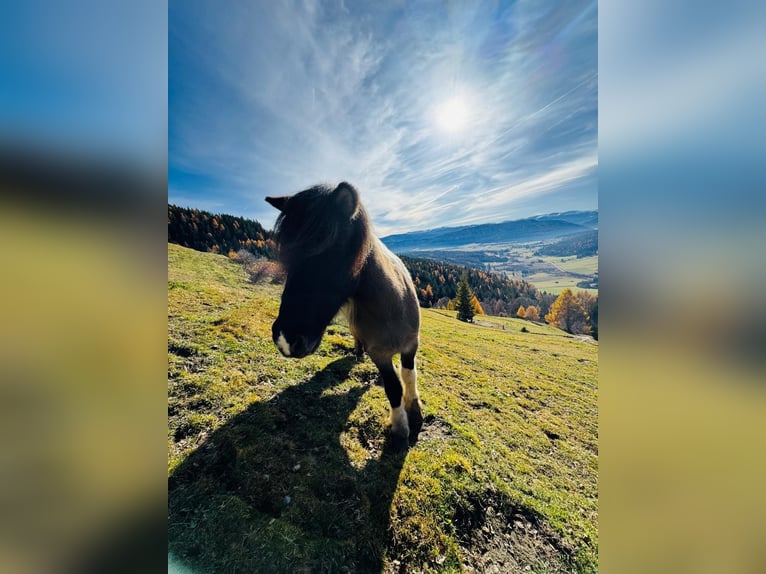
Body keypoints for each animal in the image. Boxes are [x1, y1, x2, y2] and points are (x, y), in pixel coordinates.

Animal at [265, 182, 422, 449]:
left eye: (330, 251)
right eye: (288, 256)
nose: (285, 339)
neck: (391, 308)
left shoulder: (411, 345)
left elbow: (409, 376)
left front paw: (415, 410)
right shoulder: (379, 354)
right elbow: (393, 387)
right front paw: (400, 426)